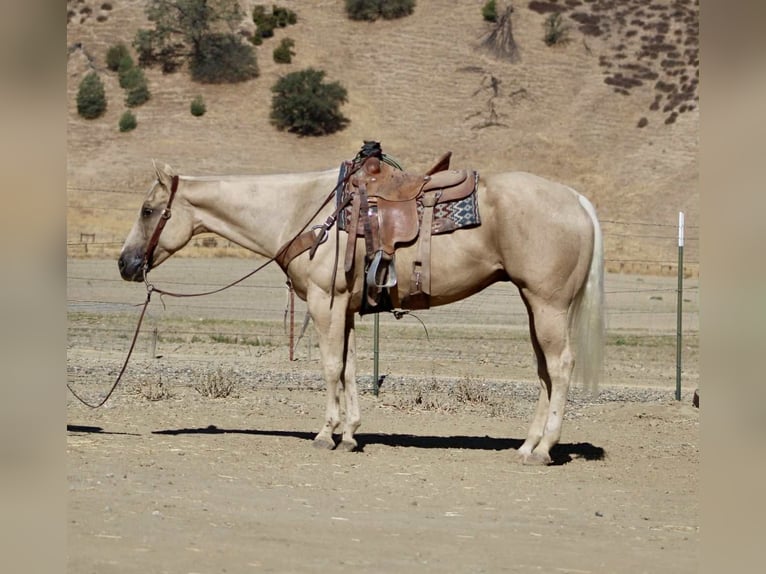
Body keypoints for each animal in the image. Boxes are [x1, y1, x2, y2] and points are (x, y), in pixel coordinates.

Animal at [118, 160, 604, 465]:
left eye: (147, 210)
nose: (125, 264)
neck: (303, 212)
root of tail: (578, 200)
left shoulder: (325, 301)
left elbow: (331, 366)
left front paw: (325, 433)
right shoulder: (346, 308)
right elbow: (349, 366)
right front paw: (350, 433)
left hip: (547, 303)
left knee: (560, 366)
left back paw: (543, 450)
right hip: (535, 304)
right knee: (544, 371)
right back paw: (527, 445)